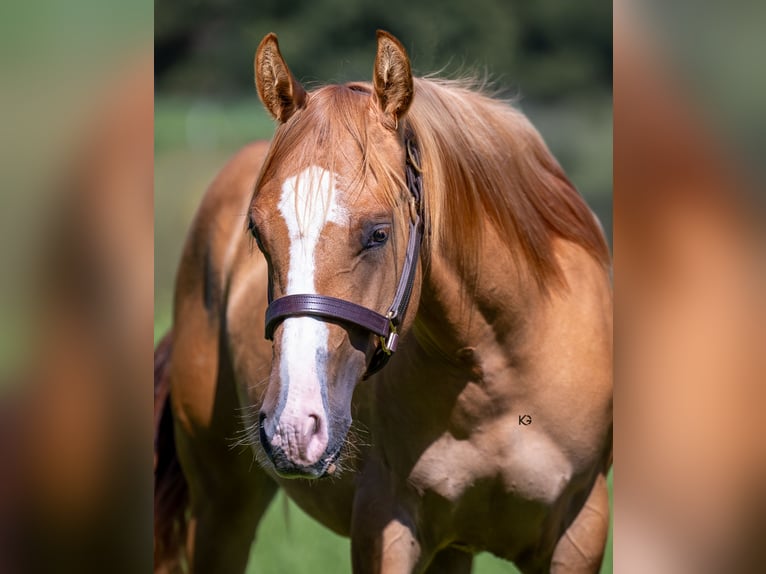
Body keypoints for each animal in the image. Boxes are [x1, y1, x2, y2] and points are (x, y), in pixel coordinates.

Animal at [154, 30, 612, 574]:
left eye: (378, 233)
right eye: (258, 235)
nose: (294, 428)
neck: (501, 365)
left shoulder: (579, 530)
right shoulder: (385, 525)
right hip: (221, 506)